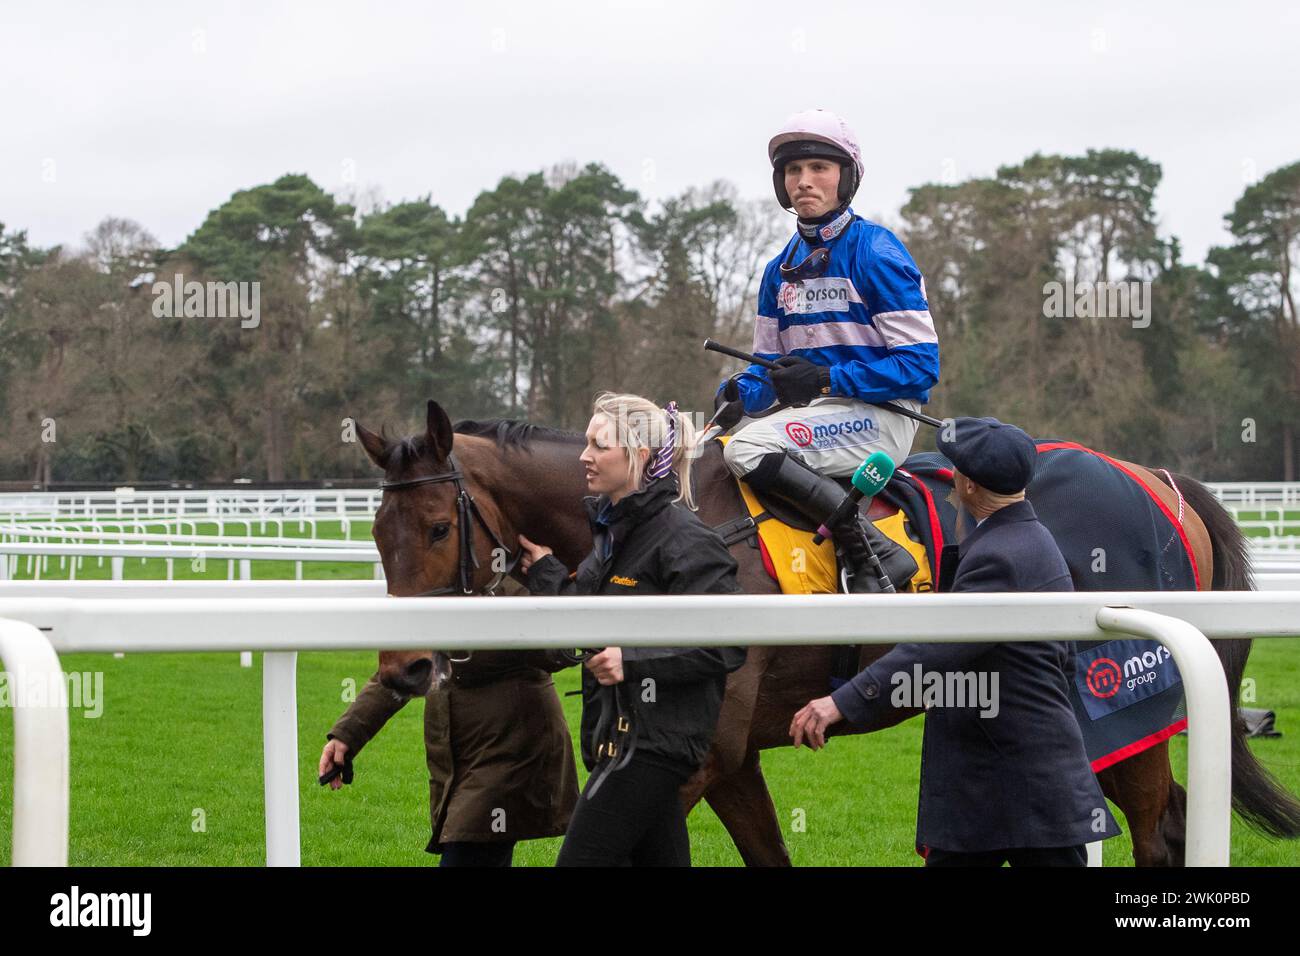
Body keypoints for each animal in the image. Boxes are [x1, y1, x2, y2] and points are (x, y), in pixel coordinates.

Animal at [353, 395, 1300, 868]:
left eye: (435, 528)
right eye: (375, 534)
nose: (403, 671)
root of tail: (1158, 479)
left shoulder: (694, 756)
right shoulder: (729, 758)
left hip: (1129, 701)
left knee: (1158, 832)